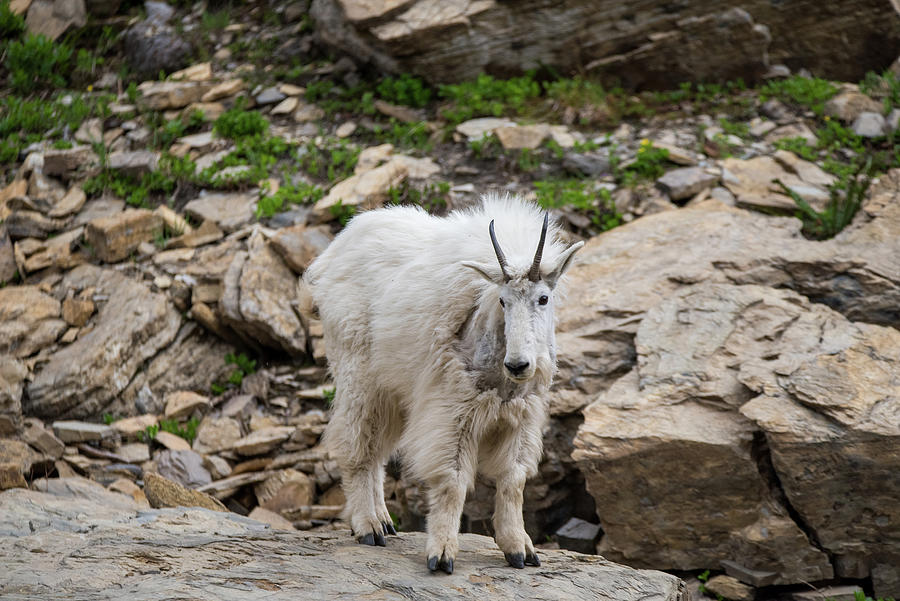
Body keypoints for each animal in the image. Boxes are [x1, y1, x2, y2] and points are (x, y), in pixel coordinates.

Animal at [301, 193, 583, 573]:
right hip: (358, 372)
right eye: (503, 300)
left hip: (393, 388)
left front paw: (520, 549)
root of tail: (332, 254)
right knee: (358, 444)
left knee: (377, 449)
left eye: (543, 298)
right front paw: (442, 553)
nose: (518, 365)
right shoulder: (453, 410)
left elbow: (513, 481)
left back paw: (384, 520)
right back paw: (368, 526)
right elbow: (452, 480)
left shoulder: (521, 417)